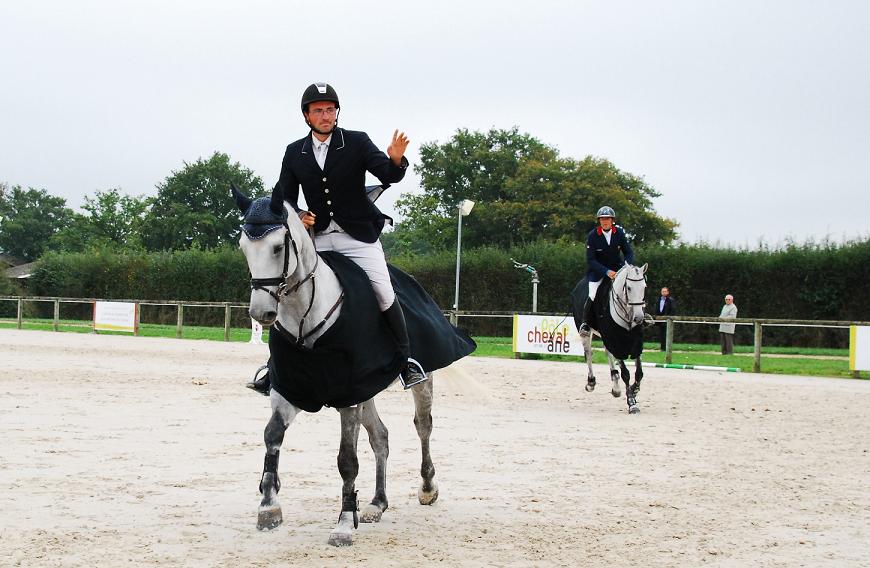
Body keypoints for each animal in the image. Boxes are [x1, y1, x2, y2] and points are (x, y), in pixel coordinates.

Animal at [235, 186, 440, 544]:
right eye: (244, 248)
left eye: (277, 247)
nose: (262, 314)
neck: (305, 312)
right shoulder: (290, 389)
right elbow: (272, 436)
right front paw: (269, 508)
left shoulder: (348, 397)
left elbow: (347, 460)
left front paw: (344, 524)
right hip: (368, 390)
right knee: (381, 437)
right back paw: (376, 504)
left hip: (420, 382)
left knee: (423, 426)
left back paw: (427, 488)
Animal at [576, 264, 652, 414]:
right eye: (629, 288)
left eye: (644, 287)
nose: (639, 318)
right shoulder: (616, 342)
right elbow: (626, 374)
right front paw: (632, 403)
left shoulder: (636, 344)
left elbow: (639, 373)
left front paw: (634, 390)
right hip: (587, 331)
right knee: (588, 353)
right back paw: (591, 382)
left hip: (606, 338)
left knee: (608, 354)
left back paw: (615, 386)